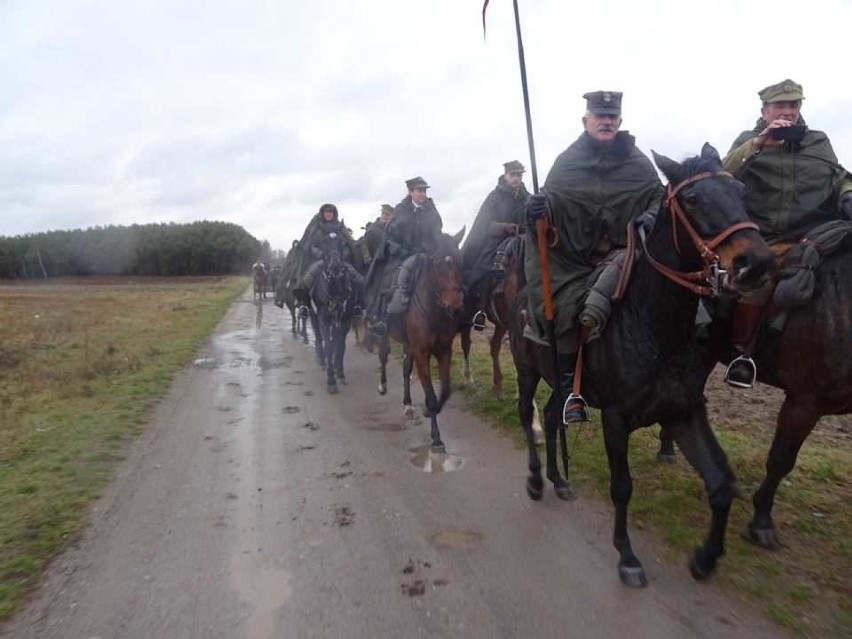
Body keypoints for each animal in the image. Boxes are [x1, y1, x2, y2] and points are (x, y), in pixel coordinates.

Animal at [374, 230, 462, 456]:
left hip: (409, 345)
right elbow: (430, 395)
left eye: (460, 259)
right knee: (383, 356)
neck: (434, 313)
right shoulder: (422, 353)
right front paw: (437, 439)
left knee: (406, 369)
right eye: (438, 264)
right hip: (387, 334)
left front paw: (427, 410)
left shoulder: (443, 351)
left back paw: (408, 404)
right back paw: (382, 384)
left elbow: (445, 390)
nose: (456, 307)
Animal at [510, 142, 776, 588]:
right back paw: (533, 480)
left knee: (550, 415)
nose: (755, 264)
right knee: (527, 415)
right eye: (692, 199)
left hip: (565, 388)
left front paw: (705, 558)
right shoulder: (616, 418)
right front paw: (627, 556)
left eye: (740, 190)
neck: (654, 327)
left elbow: (721, 482)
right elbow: (622, 486)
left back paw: (558, 480)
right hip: (527, 371)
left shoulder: (684, 413)